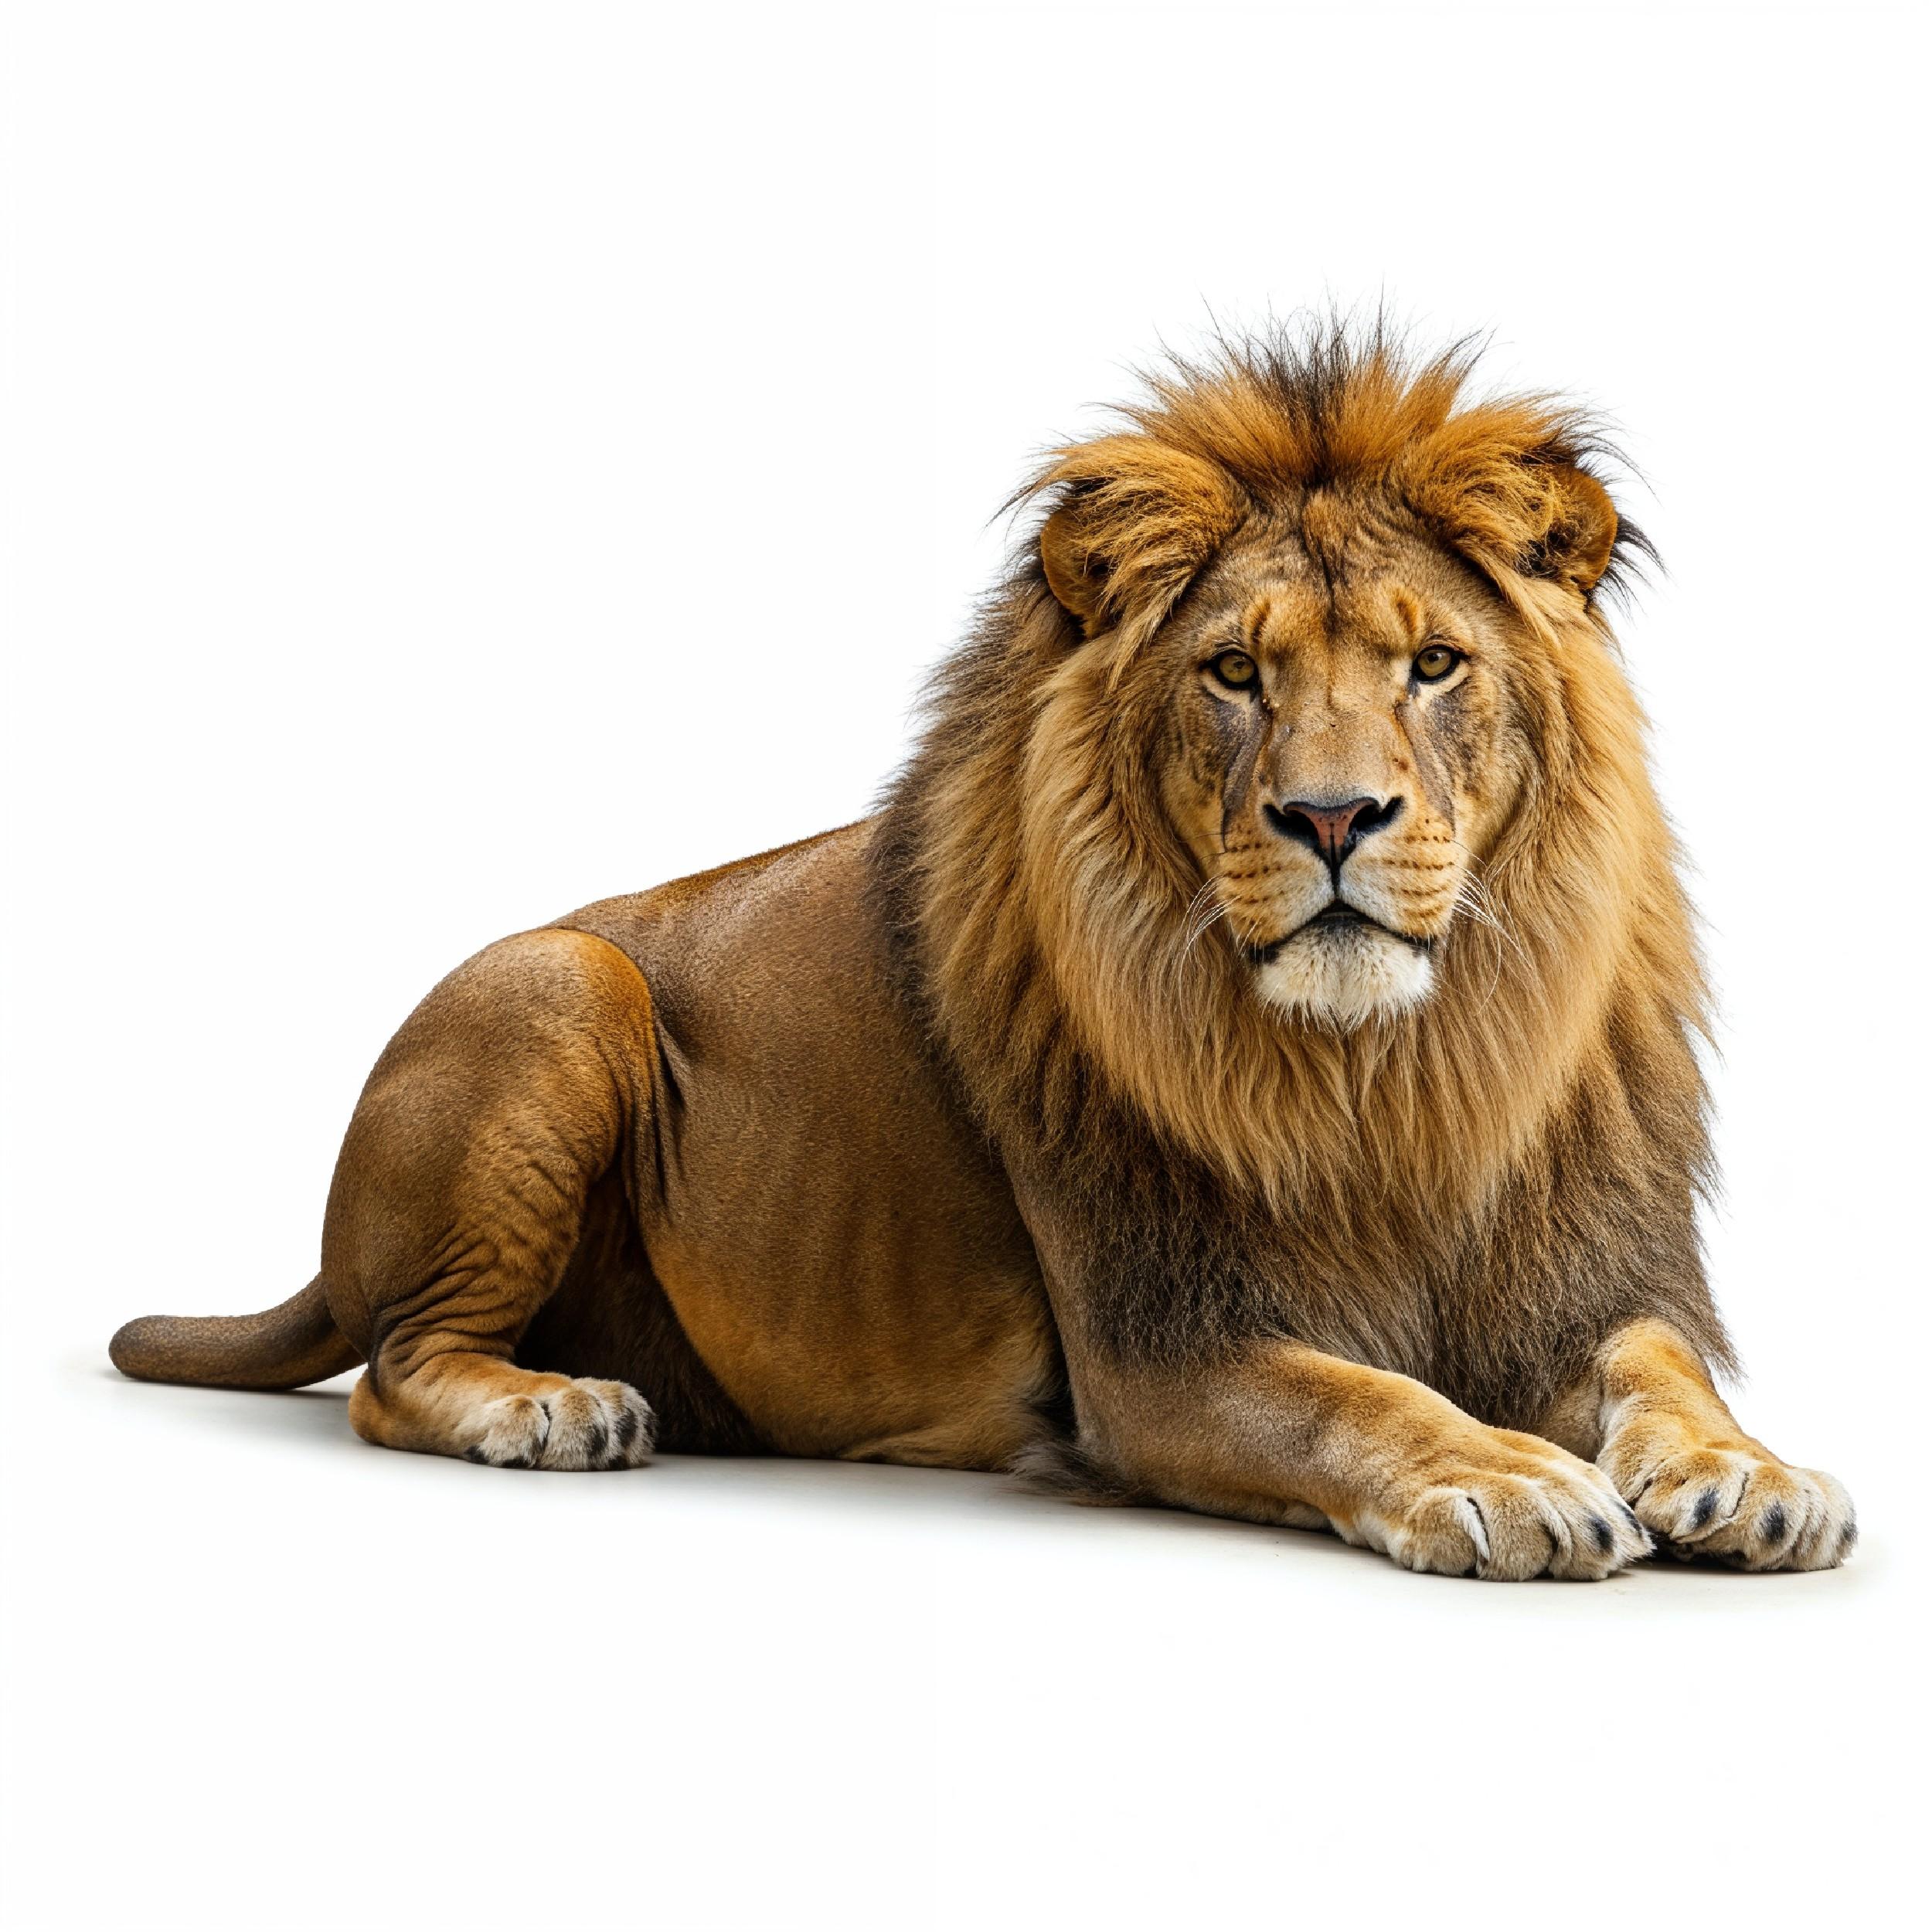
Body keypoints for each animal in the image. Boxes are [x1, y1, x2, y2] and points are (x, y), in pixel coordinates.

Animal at [110, 321, 1855, 1579]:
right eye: (1234, 672)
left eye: (1432, 664)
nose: (1332, 817)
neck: (1400, 1070)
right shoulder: (1159, 1347)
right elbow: (1354, 1397)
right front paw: (1508, 1475)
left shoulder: (1579, 1275)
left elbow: (1664, 1374)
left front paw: (1754, 1476)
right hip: (555, 984)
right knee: (395, 1365)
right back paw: (551, 1409)